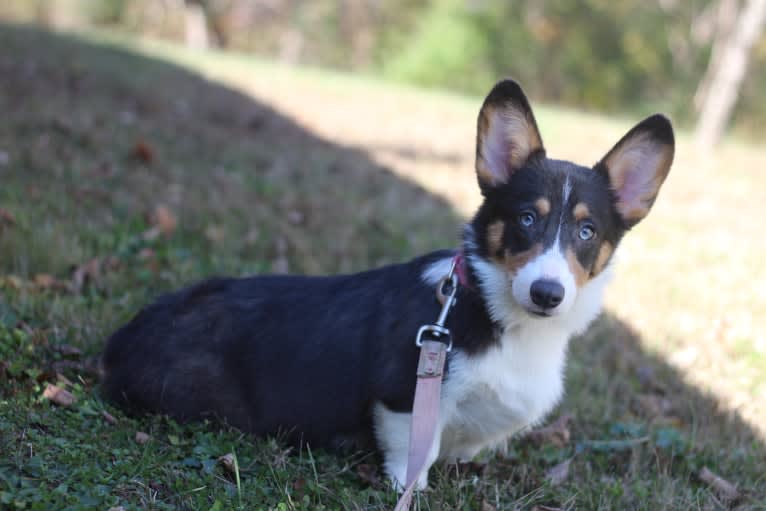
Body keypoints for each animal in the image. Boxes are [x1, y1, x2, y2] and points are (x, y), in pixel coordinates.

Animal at [99, 80, 676, 492]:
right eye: (526, 219)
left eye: (587, 231)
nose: (547, 295)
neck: (498, 314)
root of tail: (120, 341)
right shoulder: (403, 393)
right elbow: (414, 452)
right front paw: (410, 486)